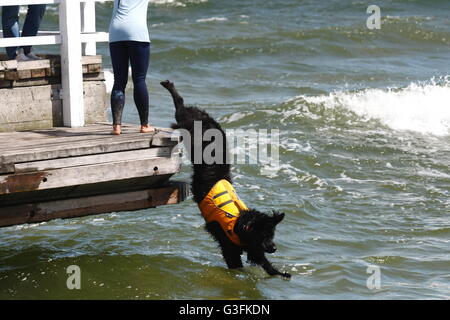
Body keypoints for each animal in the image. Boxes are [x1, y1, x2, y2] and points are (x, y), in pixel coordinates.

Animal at [160, 80, 290, 278]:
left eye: (272, 234)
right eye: (265, 235)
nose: (274, 247)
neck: (241, 225)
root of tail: (206, 119)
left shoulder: (252, 247)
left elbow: (264, 262)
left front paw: (280, 273)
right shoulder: (229, 246)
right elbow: (236, 261)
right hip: (187, 124)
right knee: (180, 107)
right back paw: (168, 86)